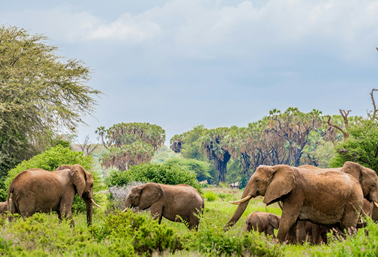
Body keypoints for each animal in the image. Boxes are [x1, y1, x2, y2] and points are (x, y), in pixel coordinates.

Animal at [226, 164, 364, 242]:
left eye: (256, 180)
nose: (222, 231)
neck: (275, 167)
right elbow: (293, 221)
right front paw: (291, 246)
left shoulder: (297, 193)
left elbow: (288, 219)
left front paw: (277, 244)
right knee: (342, 228)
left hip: (353, 201)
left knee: (348, 227)